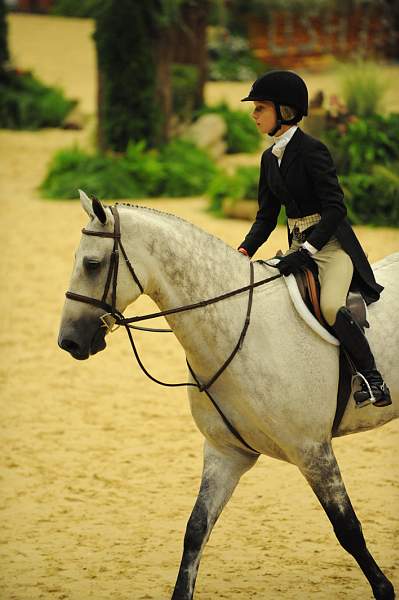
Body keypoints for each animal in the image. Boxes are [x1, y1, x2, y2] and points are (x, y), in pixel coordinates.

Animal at [57, 192, 398, 600]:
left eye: (92, 264)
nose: (68, 341)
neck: (240, 328)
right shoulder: (226, 453)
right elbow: (195, 530)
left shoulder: (313, 451)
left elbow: (349, 530)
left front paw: (384, 588)